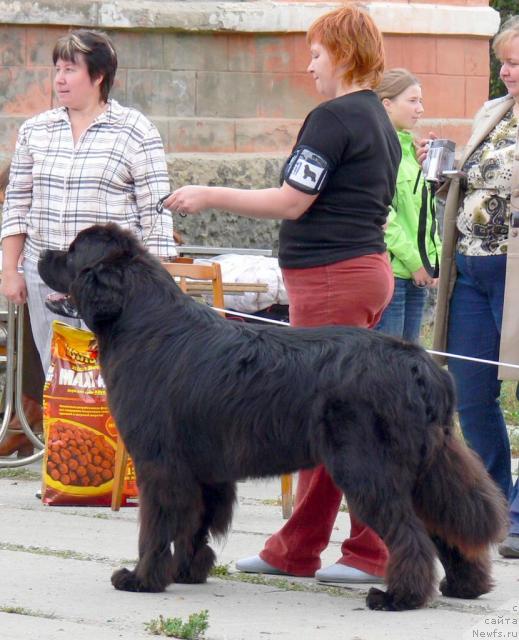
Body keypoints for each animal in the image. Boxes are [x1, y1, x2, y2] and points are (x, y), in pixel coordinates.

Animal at [37, 224, 508, 608]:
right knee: (443, 525)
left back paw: (399, 597)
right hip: (425, 468)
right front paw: (188, 572)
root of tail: (422, 365)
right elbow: (197, 524)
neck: (141, 321)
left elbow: (157, 528)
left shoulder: (160, 465)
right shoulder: (205, 471)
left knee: (409, 533)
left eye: (73, 252)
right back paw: (464, 586)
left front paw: (142, 579)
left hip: (367, 467)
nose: (41, 253)